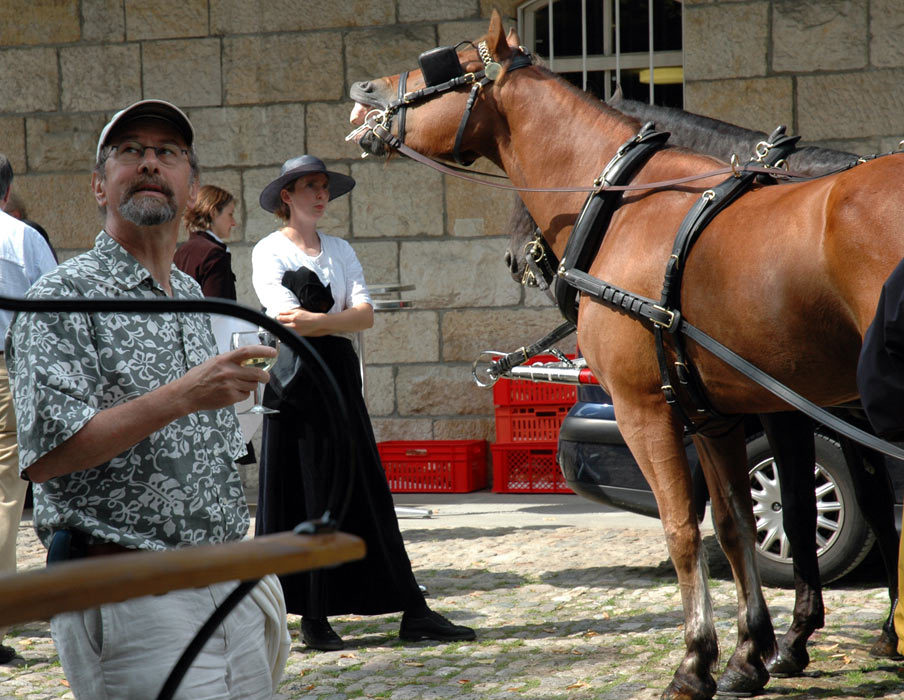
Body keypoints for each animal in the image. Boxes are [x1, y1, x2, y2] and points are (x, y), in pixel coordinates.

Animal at [348, 10, 904, 700]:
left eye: (443, 63)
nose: (363, 89)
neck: (630, 205)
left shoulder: (651, 412)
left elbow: (688, 528)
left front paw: (696, 662)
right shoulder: (713, 414)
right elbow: (736, 523)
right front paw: (751, 653)